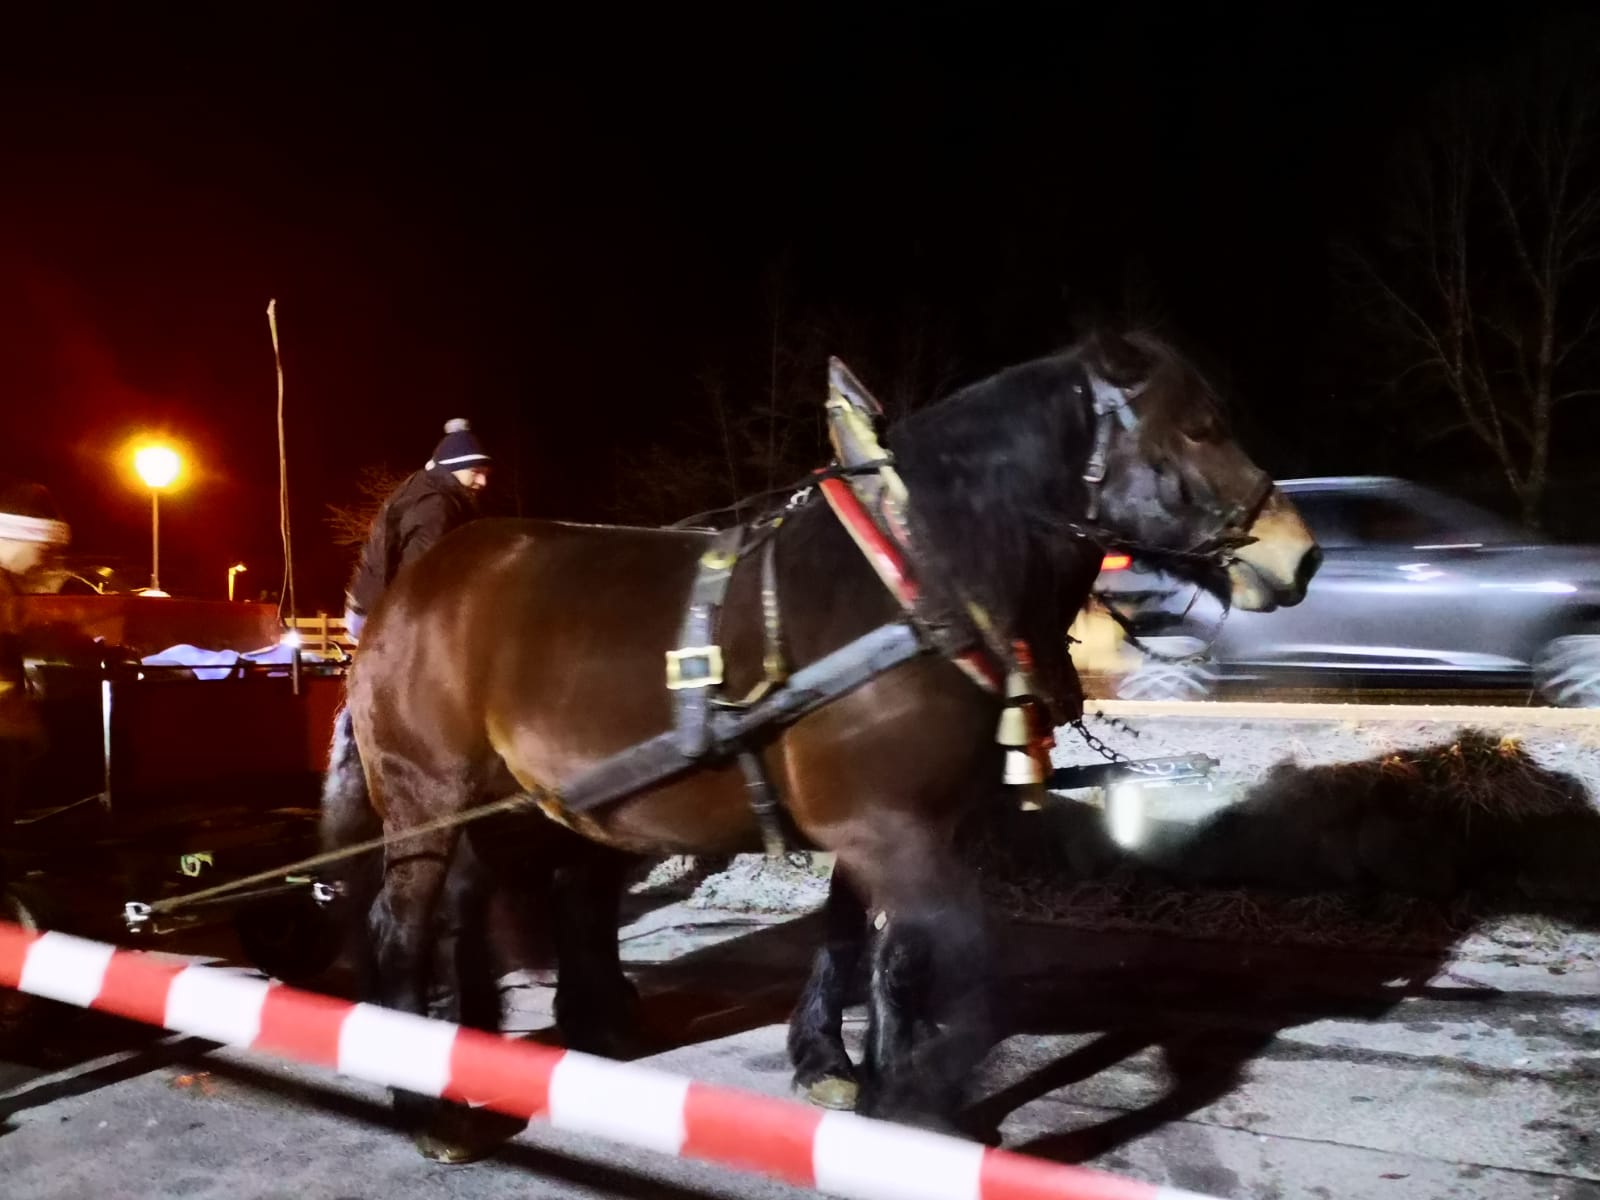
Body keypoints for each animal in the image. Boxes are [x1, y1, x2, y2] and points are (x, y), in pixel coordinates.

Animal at [323, 327, 1321, 1156]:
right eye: (1199, 428)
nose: (1299, 554)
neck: (913, 578)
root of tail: (409, 594)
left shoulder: (895, 822)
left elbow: (868, 947)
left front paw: (846, 1066)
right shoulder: (885, 824)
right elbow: (955, 953)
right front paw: (913, 1101)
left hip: (526, 806)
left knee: (497, 907)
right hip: (428, 796)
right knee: (407, 924)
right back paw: (430, 1101)